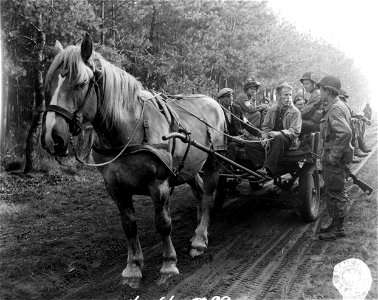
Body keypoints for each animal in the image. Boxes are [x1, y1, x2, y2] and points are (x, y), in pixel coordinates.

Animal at [40, 33, 227, 288]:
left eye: (80, 83)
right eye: (48, 84)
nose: (53, 137)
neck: (129, 128)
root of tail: (214, 101)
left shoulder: (158, 183)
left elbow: (163, 223)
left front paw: (168, 265)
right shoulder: (115, 187)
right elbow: (129, 226)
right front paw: (133, 268)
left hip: (213, 162)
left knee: (208, 196)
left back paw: (200, 239)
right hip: (189, 167)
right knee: (198, 192)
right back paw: (198, 229)